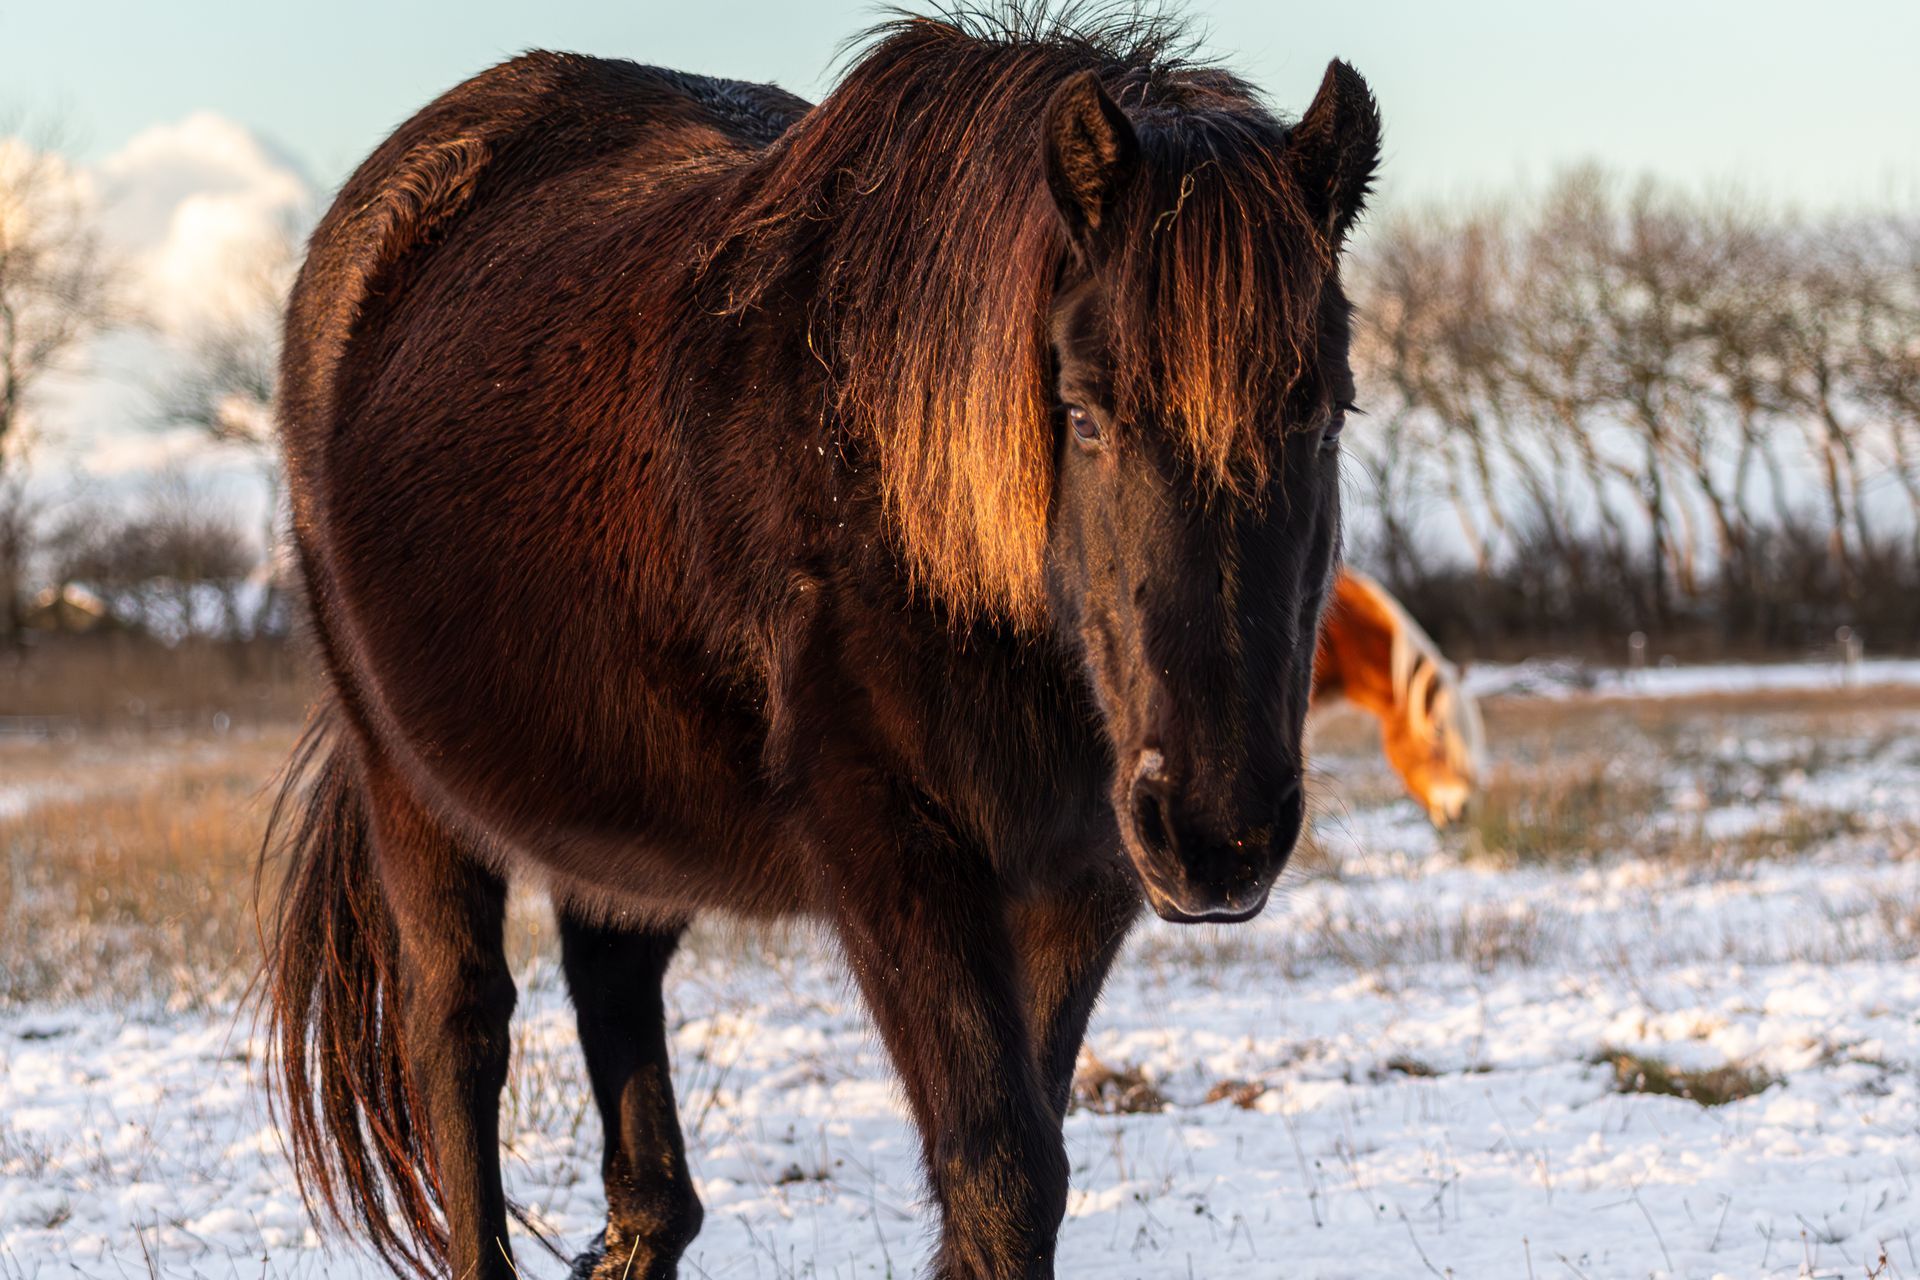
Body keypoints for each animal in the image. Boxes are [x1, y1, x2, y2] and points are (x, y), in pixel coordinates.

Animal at [260, 11, 1380, 1279]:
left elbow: (1025, 1155)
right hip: (408, 783)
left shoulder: (1083, 872)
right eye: (1085, 410)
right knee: (460, 1028)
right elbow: (1002, 1171)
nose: (1218, 833)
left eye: (1323, 411)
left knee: (613, 982)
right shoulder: (893, 851)